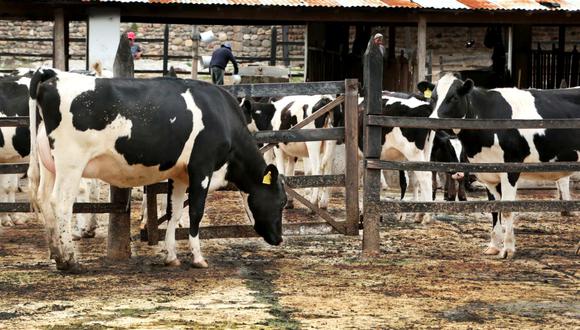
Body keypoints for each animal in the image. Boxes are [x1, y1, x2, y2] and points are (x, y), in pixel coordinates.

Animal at [27, 68, 286, 272]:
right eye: (282, 201)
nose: (279, 238)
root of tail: (52, 74)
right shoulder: (201, 168)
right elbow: (196, 212)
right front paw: (198, 258)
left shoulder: (180, 175)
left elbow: (174, 212)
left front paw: (171, 256)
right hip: (70, 163)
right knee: (60, 203)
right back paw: (70, 260)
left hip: (49, 164)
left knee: (43, 200)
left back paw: (56, 255)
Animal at [428, 72, 576, 258]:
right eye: (433, 98)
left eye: (453, 97)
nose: (432, 121)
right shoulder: (489, 172)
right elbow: (494, 208)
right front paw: (493, 247)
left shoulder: (510, 169)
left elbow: (506, 209)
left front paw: (508, 249)